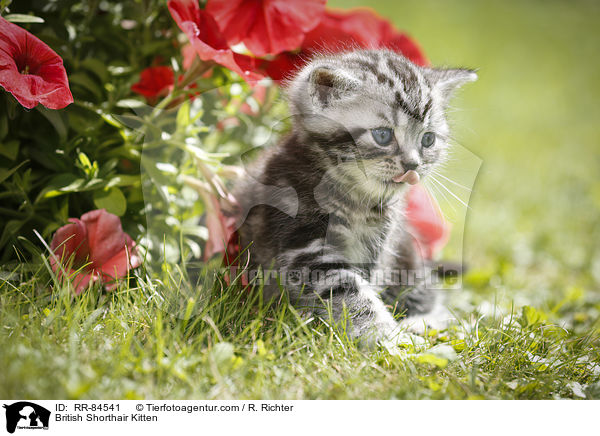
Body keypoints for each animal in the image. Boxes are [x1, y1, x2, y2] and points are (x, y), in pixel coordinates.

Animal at [232, 49, 476, 346]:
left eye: (428, 140)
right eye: (382, 135)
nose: (413, 165)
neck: (356, 199)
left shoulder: (380, 243)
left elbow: (367, 282)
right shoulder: (303, 243)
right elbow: (348, 292)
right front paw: (383, 335)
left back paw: (422, 321)